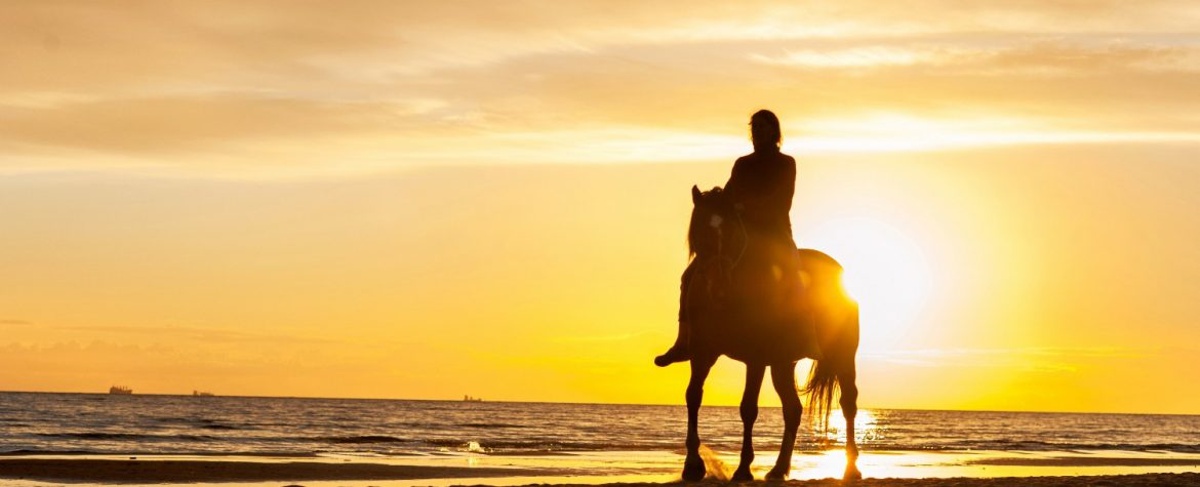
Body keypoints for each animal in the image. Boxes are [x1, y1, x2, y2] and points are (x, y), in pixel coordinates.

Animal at [676, 184, 864, 482]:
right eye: (699, 232)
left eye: (732, 232)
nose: (719, 287)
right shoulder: (702, 352)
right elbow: (693, 395)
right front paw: (693, 465)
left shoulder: (755, 358)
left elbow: (748, 408)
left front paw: (743, 468)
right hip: (783, 363)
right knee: (793, 409)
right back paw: (778, 469)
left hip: (843, 355)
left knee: (848, 404)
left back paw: (851, 467)